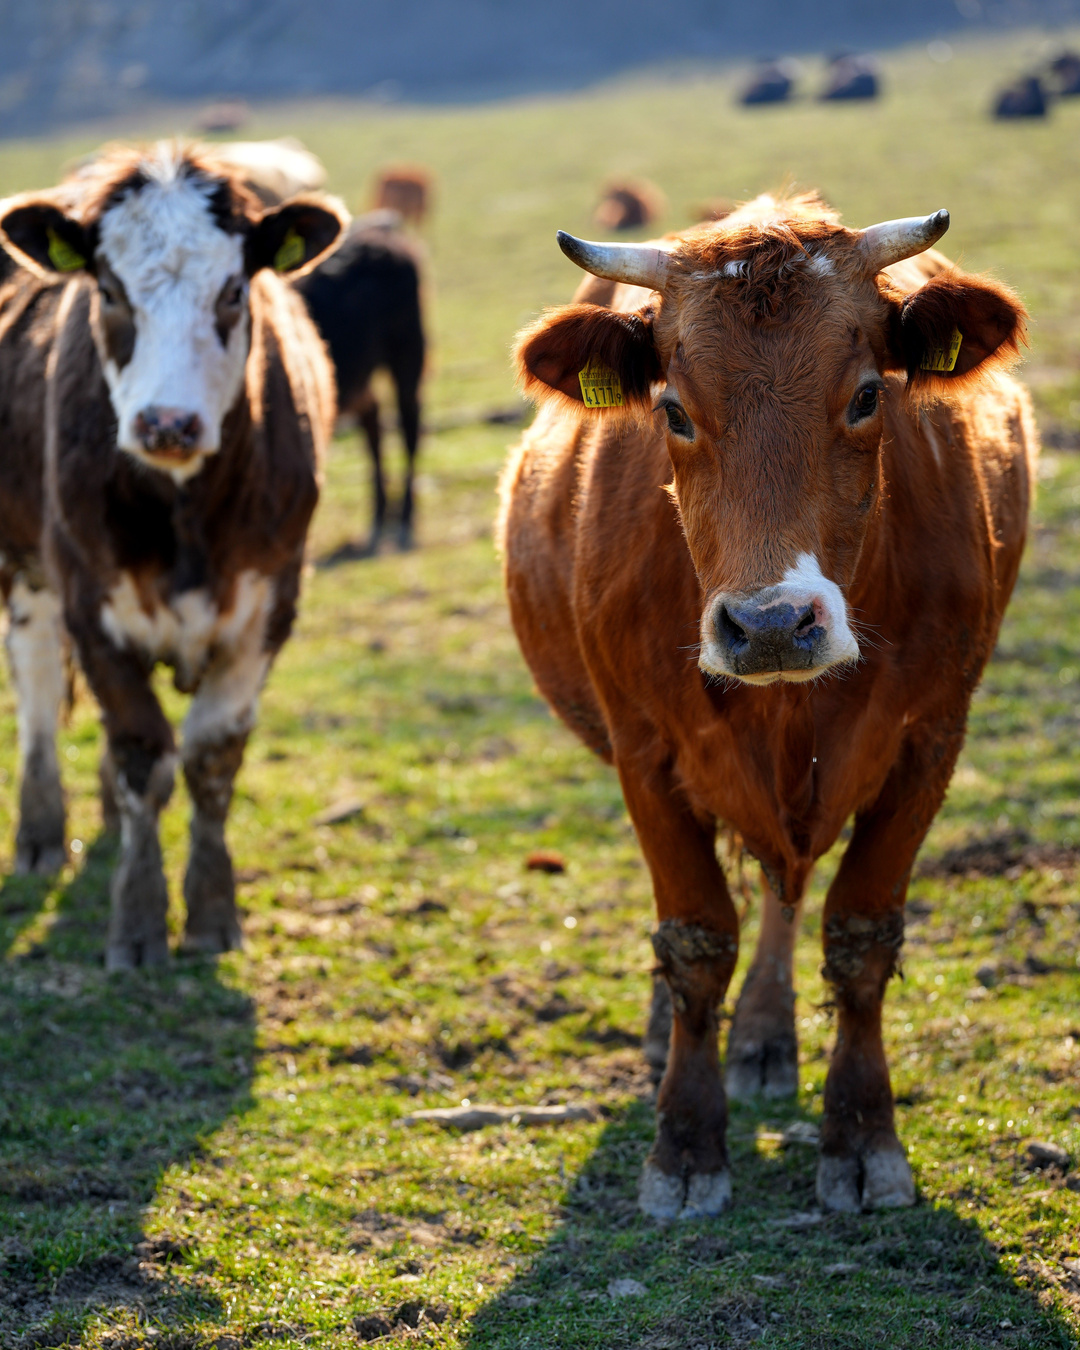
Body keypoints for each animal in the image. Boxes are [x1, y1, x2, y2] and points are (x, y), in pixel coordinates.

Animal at [0, 141, 345, 968]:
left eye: (233, 291)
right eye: (109, 290)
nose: (167, 422)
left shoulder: (267, 605)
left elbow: (211, 759)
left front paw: (214, 909)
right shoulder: (93, 605)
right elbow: (143, 757)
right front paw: (138, 919)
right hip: (27, 568)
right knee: (35, 682)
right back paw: (41, 831)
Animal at [500, 193, 1034, 1218]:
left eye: (867, 396)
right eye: (673, 409)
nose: (773, 624)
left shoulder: (930, 740)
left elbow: (860, 935)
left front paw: (862, 1137)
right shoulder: (645, 749)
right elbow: (696, 935)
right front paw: (684, 1144)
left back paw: (761, 1037)